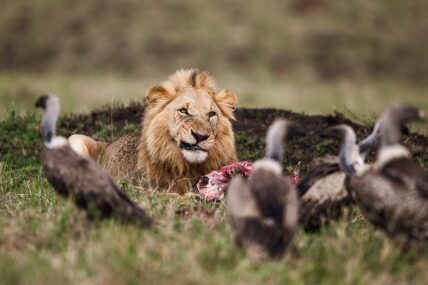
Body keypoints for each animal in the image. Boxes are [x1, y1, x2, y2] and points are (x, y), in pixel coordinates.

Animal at [68, 69, 239, 193]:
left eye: (211, 114)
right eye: (183, 111)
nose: (200, 136)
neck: (188, 166)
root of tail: (108, 144)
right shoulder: (149, 188)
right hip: (75, 138)